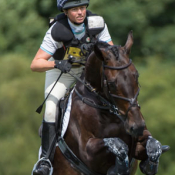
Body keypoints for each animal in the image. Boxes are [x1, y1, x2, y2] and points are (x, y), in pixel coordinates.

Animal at [53, 31, 153, 175]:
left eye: (136, 76)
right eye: (111, 83)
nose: (137, 126)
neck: (106, 109)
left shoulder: (137, 139)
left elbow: (151, 142)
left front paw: (151, 161)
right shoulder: (88, 152)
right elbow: (118, 143)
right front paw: (118, 168)